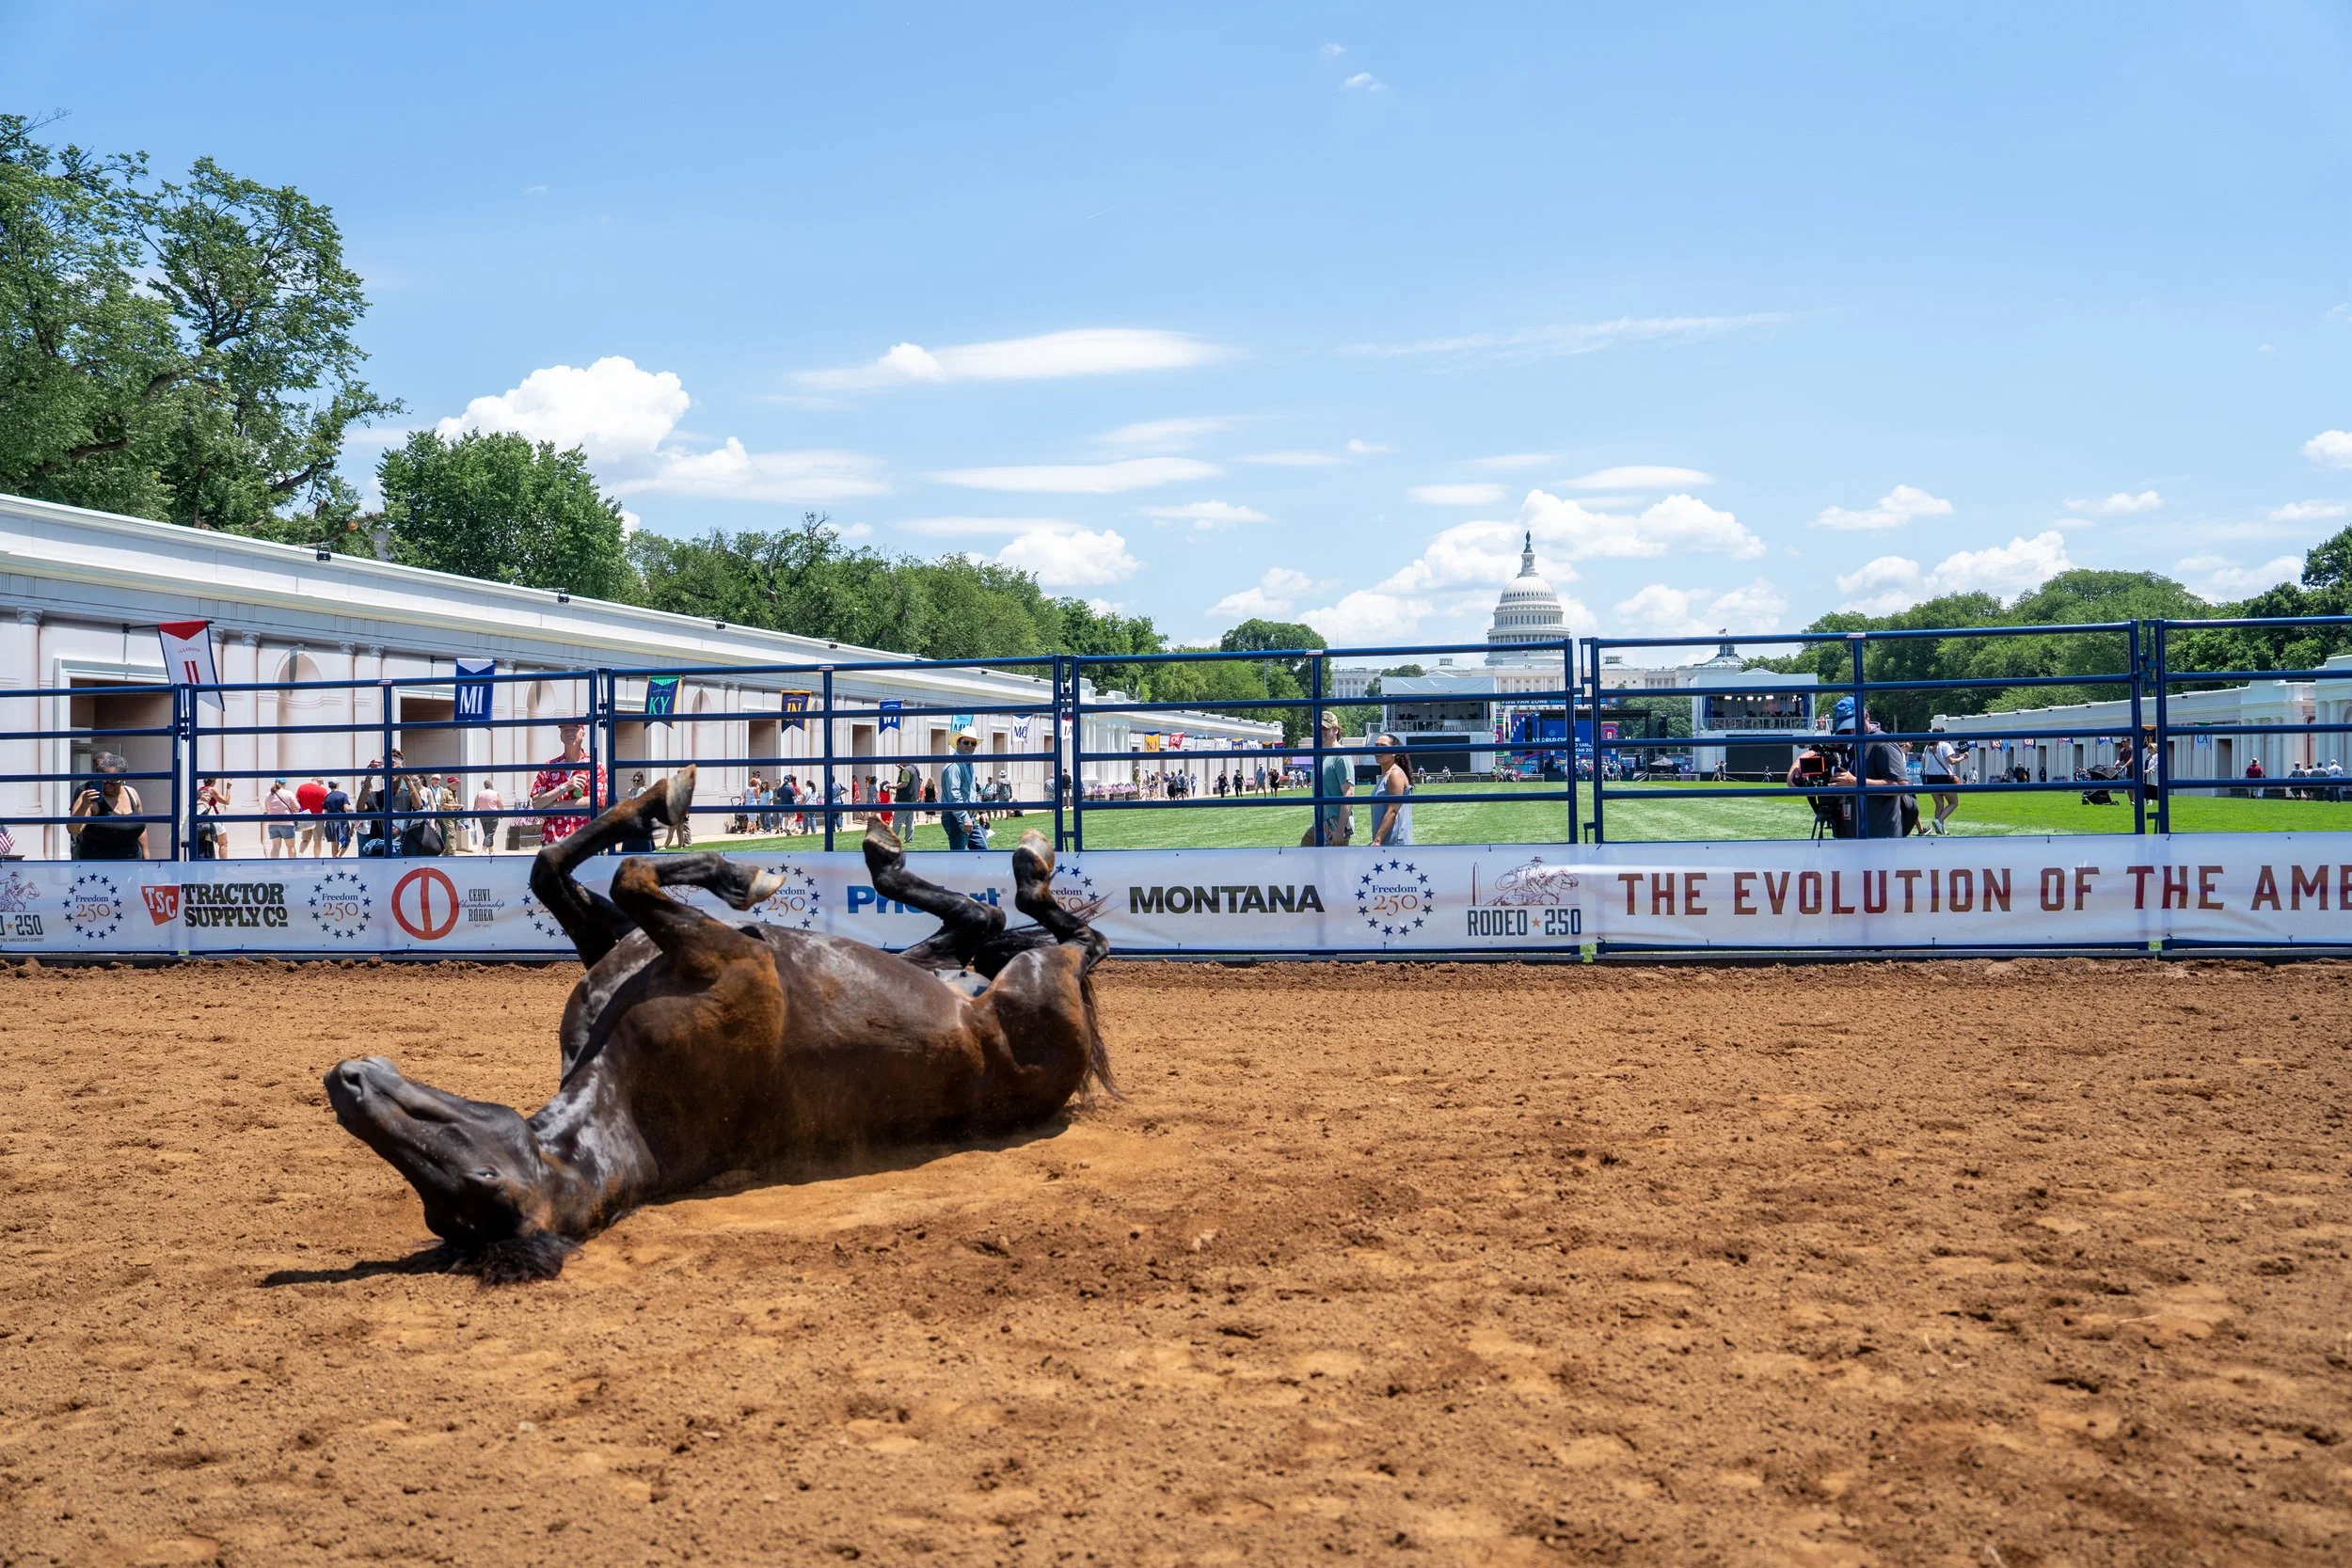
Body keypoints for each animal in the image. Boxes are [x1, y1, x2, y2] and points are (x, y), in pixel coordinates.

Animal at [324, 768, 1113, 1282]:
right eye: (467, 1193)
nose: (347, 1081)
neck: (624, 1096)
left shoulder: (620, 942)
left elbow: (558, 864)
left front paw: (664, 806)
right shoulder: (726, 956)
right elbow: (627, 874)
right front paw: (739, 874)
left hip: (949, 961)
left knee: (991, 921)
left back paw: (900, 853)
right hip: (1035, 983)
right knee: (1062, 937)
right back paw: (1016, 868)